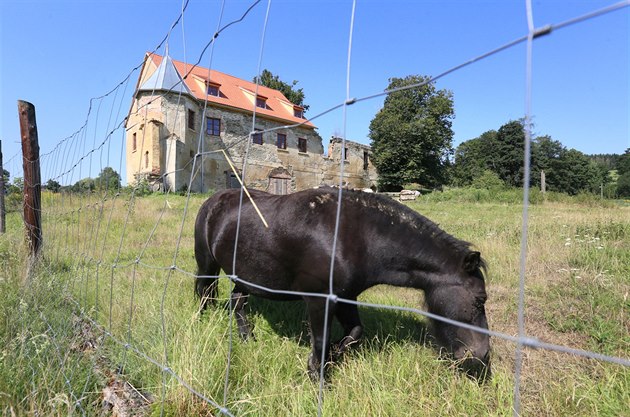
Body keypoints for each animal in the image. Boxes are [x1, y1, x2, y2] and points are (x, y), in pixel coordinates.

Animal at [195, 187, 492, 378]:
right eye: (480, 300)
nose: (482, 354)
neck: (358, 237)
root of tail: (212, 201)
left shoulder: (347, 297)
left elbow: (355, 332)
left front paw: (335, 354)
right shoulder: (318, 300)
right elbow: (320, 340)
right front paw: (317, 373)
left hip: (244, 275)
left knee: (238, 302)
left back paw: (247, 338)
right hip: (207, 265)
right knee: (204, 293)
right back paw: (200, 324)